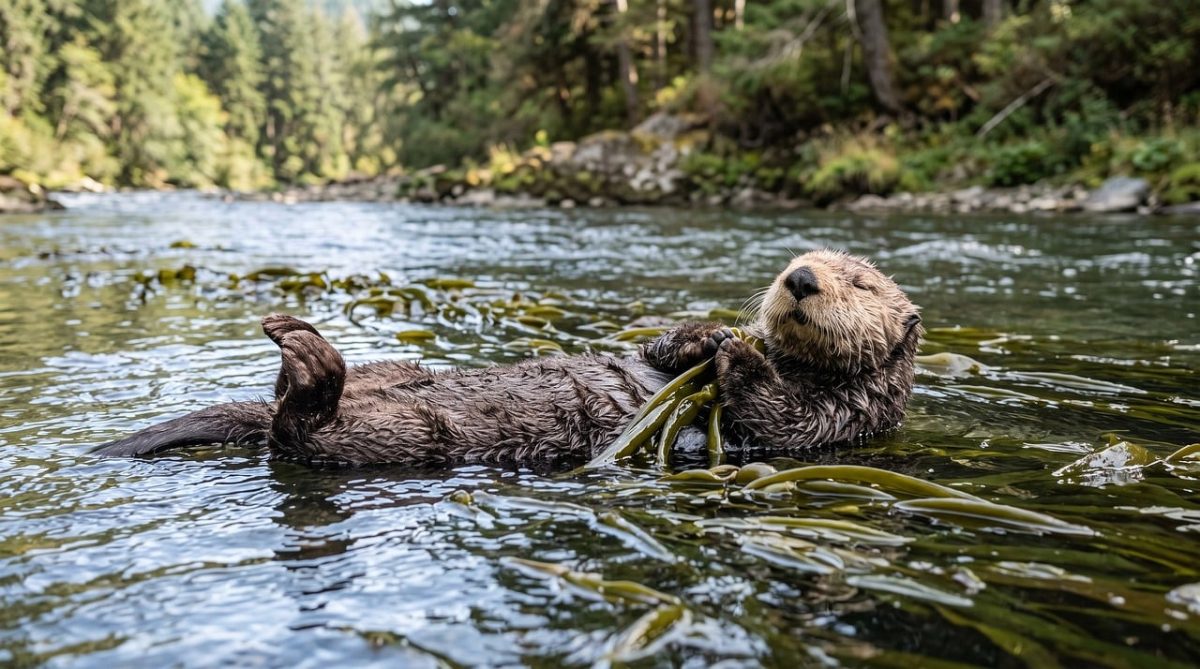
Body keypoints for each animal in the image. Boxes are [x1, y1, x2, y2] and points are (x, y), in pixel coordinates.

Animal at [94, 250, 923, 466]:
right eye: (792, 261)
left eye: (860, 282)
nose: (801, 278)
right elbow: (653, 344)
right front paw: (709, 335)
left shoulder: (845, 419)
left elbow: (780, 419)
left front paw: (741, 357)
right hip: (400, 376)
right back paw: (298, 347)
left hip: (401, 438)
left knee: (300, 431)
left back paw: (306, 364)